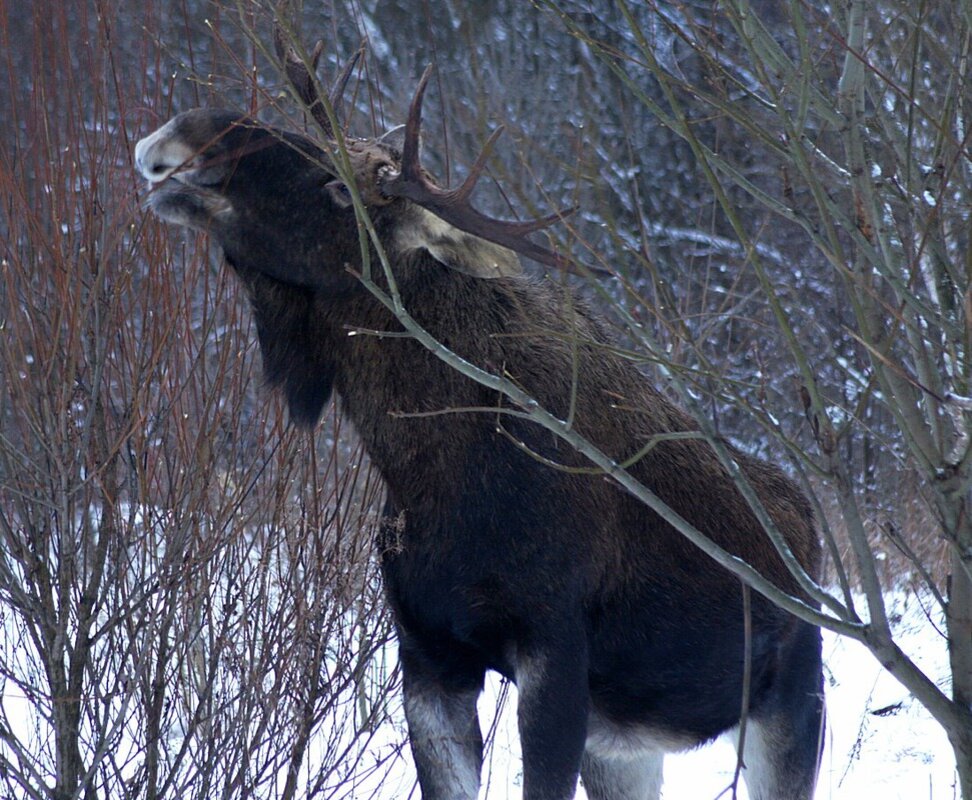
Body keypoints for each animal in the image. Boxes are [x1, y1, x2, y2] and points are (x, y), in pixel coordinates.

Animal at [133, 31, 824, 800]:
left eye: (342, 190)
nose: (188, 131)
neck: (424, 468)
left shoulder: (553, 651)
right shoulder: (429, 656)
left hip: (790, 707)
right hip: (626, 744)